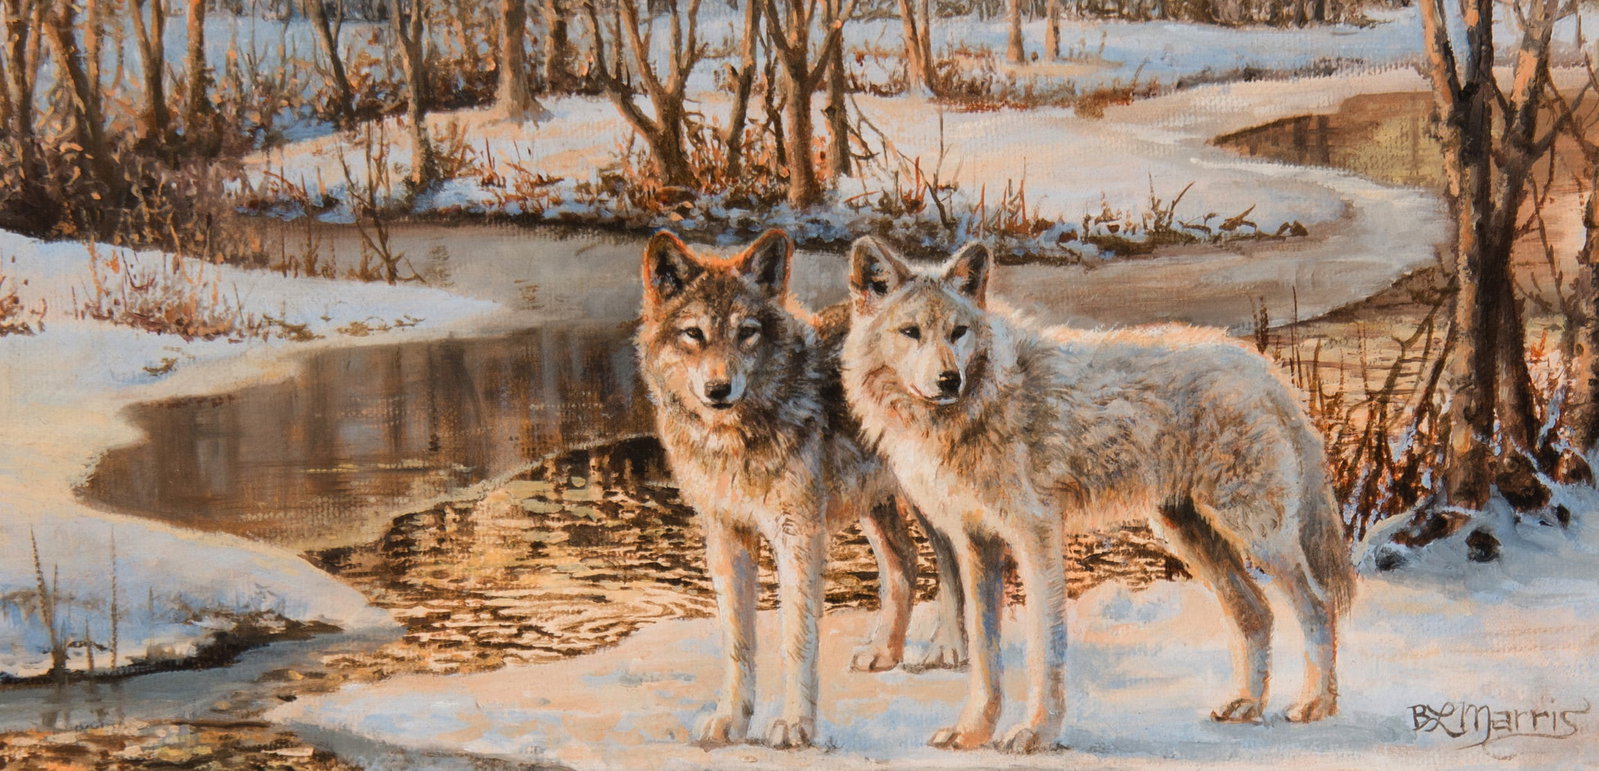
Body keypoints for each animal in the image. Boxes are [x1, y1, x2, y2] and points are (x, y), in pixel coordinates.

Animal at [635, 229, 966, 749]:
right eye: (694, 334)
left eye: (747, 331)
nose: (718, 389)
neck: (737, 436)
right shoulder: (726, 536)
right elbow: (738, 641)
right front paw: (730, 721)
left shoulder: (798, 536)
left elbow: (797, 639)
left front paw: (795, 726)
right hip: (874, 503)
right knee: (905, 561)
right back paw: (884, 652)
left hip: (925, 500)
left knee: (952, 562)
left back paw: (949, 647)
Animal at [840, 236, 1356, 753]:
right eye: (911, 332)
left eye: (958, 332)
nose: (950, 380)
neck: (981, 405)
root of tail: (1264, 369)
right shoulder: (976, 544)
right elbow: (985, 655)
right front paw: (972, 734)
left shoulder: (1037, 537)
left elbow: (1044, 647)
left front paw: (1036, 733)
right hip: (1189, 536)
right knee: (1257, 613)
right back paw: (1247, 705)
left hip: (1256, 533)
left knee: (1317, 603)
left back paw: (1315, 705)